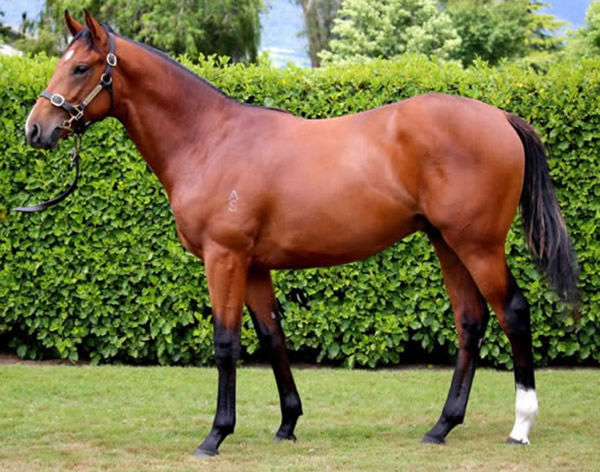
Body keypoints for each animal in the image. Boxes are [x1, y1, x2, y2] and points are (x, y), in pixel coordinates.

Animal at [22, 12, 576, 458]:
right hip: (447, 243)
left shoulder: (224, 258)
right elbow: (272, 337)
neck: (210, 140)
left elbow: (226, 342)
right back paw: (441, 426)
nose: (35, 129)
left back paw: (521, 426)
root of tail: (500, 116)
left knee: (513, 313)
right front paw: (287, 423)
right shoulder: (254, 265)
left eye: (80, 68)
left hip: (477, 245)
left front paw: (215, 435)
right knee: (470, 322)